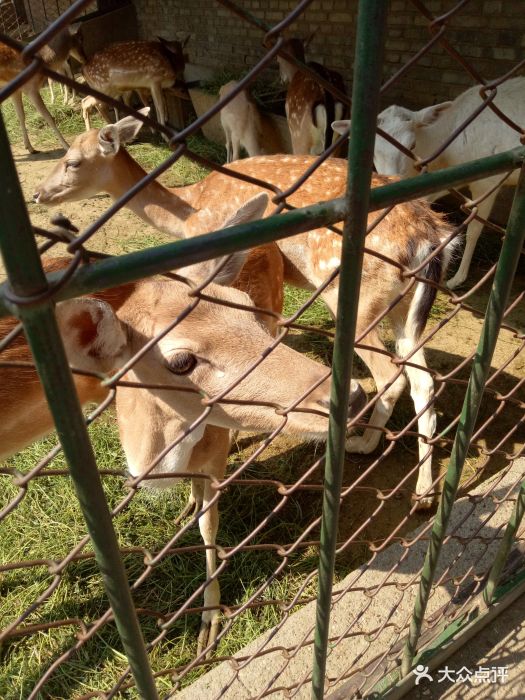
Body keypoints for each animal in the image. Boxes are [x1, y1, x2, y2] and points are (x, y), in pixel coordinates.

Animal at [34, 112, 456, 516]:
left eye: (72, 161)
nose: (38, 193)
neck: (188, 212)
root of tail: (431, 236)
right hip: (404, 306)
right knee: (423, 378)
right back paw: (423, 493)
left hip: (353, 297)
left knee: (390, 375)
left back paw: (364, 444)